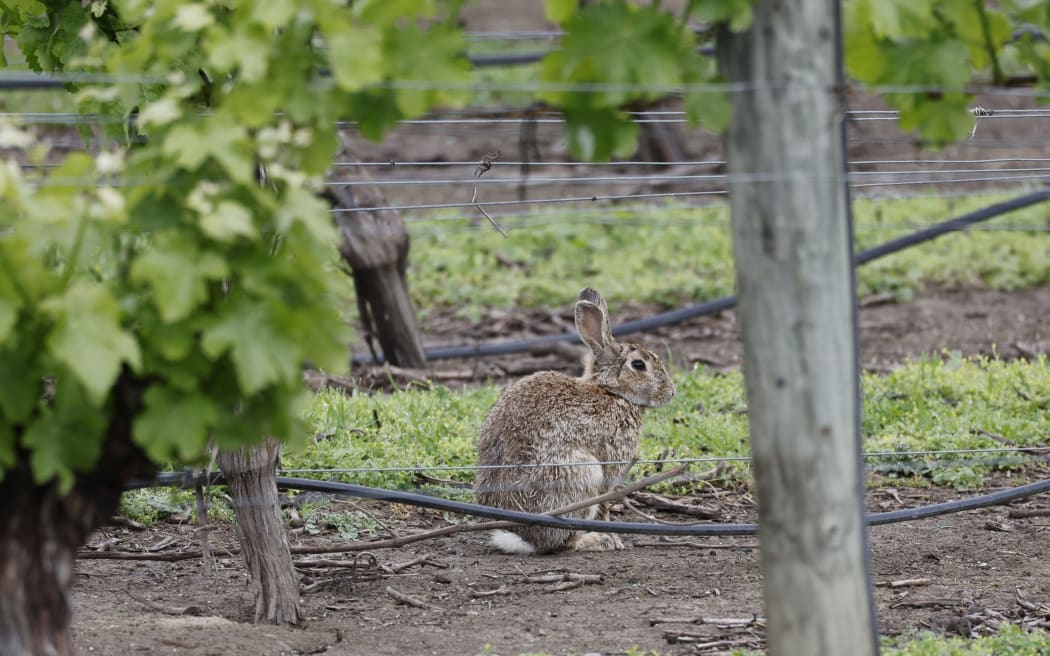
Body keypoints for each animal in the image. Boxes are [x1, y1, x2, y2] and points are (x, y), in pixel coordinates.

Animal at [474, 285, 676, 554]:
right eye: (638, 365)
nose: (671, 392)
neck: (612, 392)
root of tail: (526, 538)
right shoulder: (609, 466)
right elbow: (604, 506)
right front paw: (611, 535)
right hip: (582, 474)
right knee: (565, 542)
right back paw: (596, 540)